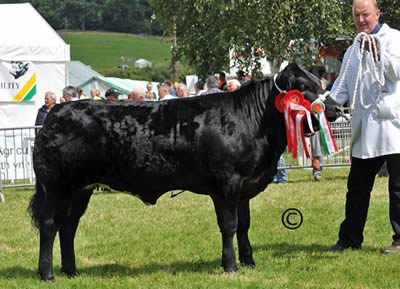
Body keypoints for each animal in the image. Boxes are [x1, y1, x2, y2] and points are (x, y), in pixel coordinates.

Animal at [28, 63, 340, 280]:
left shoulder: (244, 187)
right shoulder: (227, 183)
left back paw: (72, 271)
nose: (336, 108)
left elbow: (244, 225)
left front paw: (249, 261)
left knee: (68, 227)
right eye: (303, 86)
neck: (252, 122)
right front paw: (230, 266)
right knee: (49, 225)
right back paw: (47, 274)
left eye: (319, 82)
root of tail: (56, 114)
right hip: (57, 187)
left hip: (81, 190)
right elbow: (229, 225)